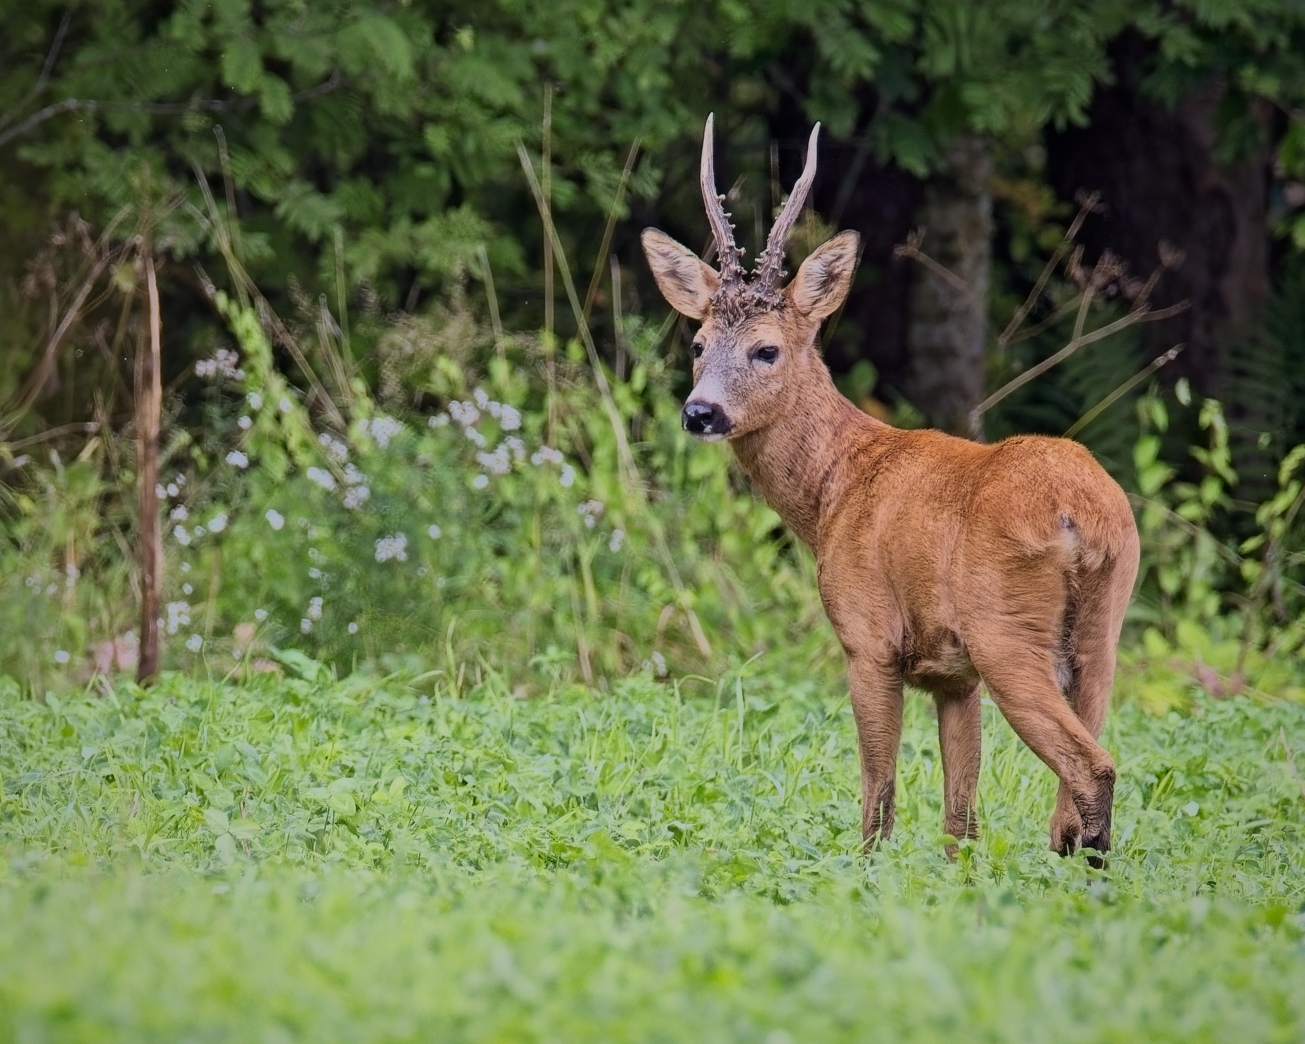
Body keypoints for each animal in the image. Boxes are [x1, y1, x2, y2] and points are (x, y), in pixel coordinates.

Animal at [641, 116, 1140, 862]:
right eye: (698, 344)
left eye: (767, 349)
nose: (700, 412)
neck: (834, 489)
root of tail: (1078, 514)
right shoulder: (952, 674)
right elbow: (960, 817)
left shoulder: (867, 636)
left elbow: (878, 794)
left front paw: (862, 873)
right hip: (1102, 627)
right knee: (1072, 789)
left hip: (1006, 629)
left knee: (1092, 766)